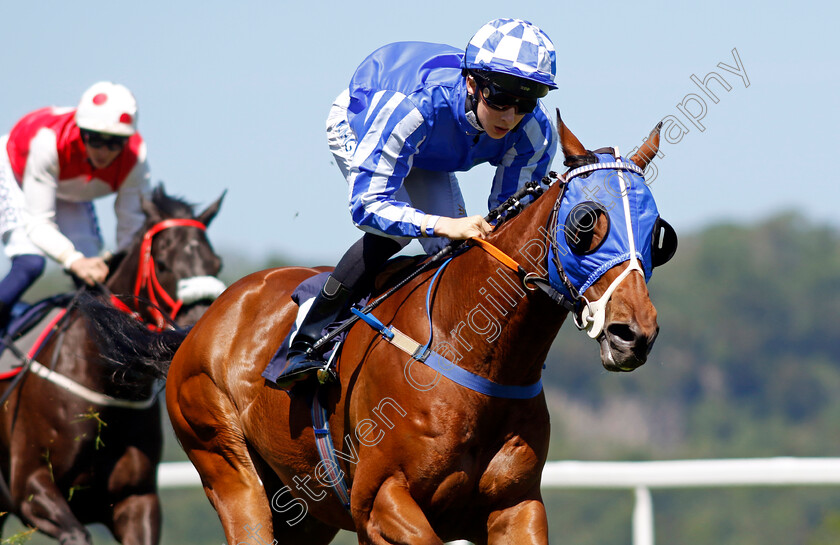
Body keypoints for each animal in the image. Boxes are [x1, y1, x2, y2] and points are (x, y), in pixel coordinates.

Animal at [0, 186, 225, 544]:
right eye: (163, 264)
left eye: (217, 264)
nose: (204, 334)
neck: (104, 383)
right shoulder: (31, 487)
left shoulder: (136, 499)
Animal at [87, 120, 676, 544]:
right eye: (586, 222)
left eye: (659, 234)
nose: (632, 333)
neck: (475, 355)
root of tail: (201, 324)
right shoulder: (379, 502)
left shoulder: (516, 507)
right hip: (228, 466)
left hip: (304, 512)